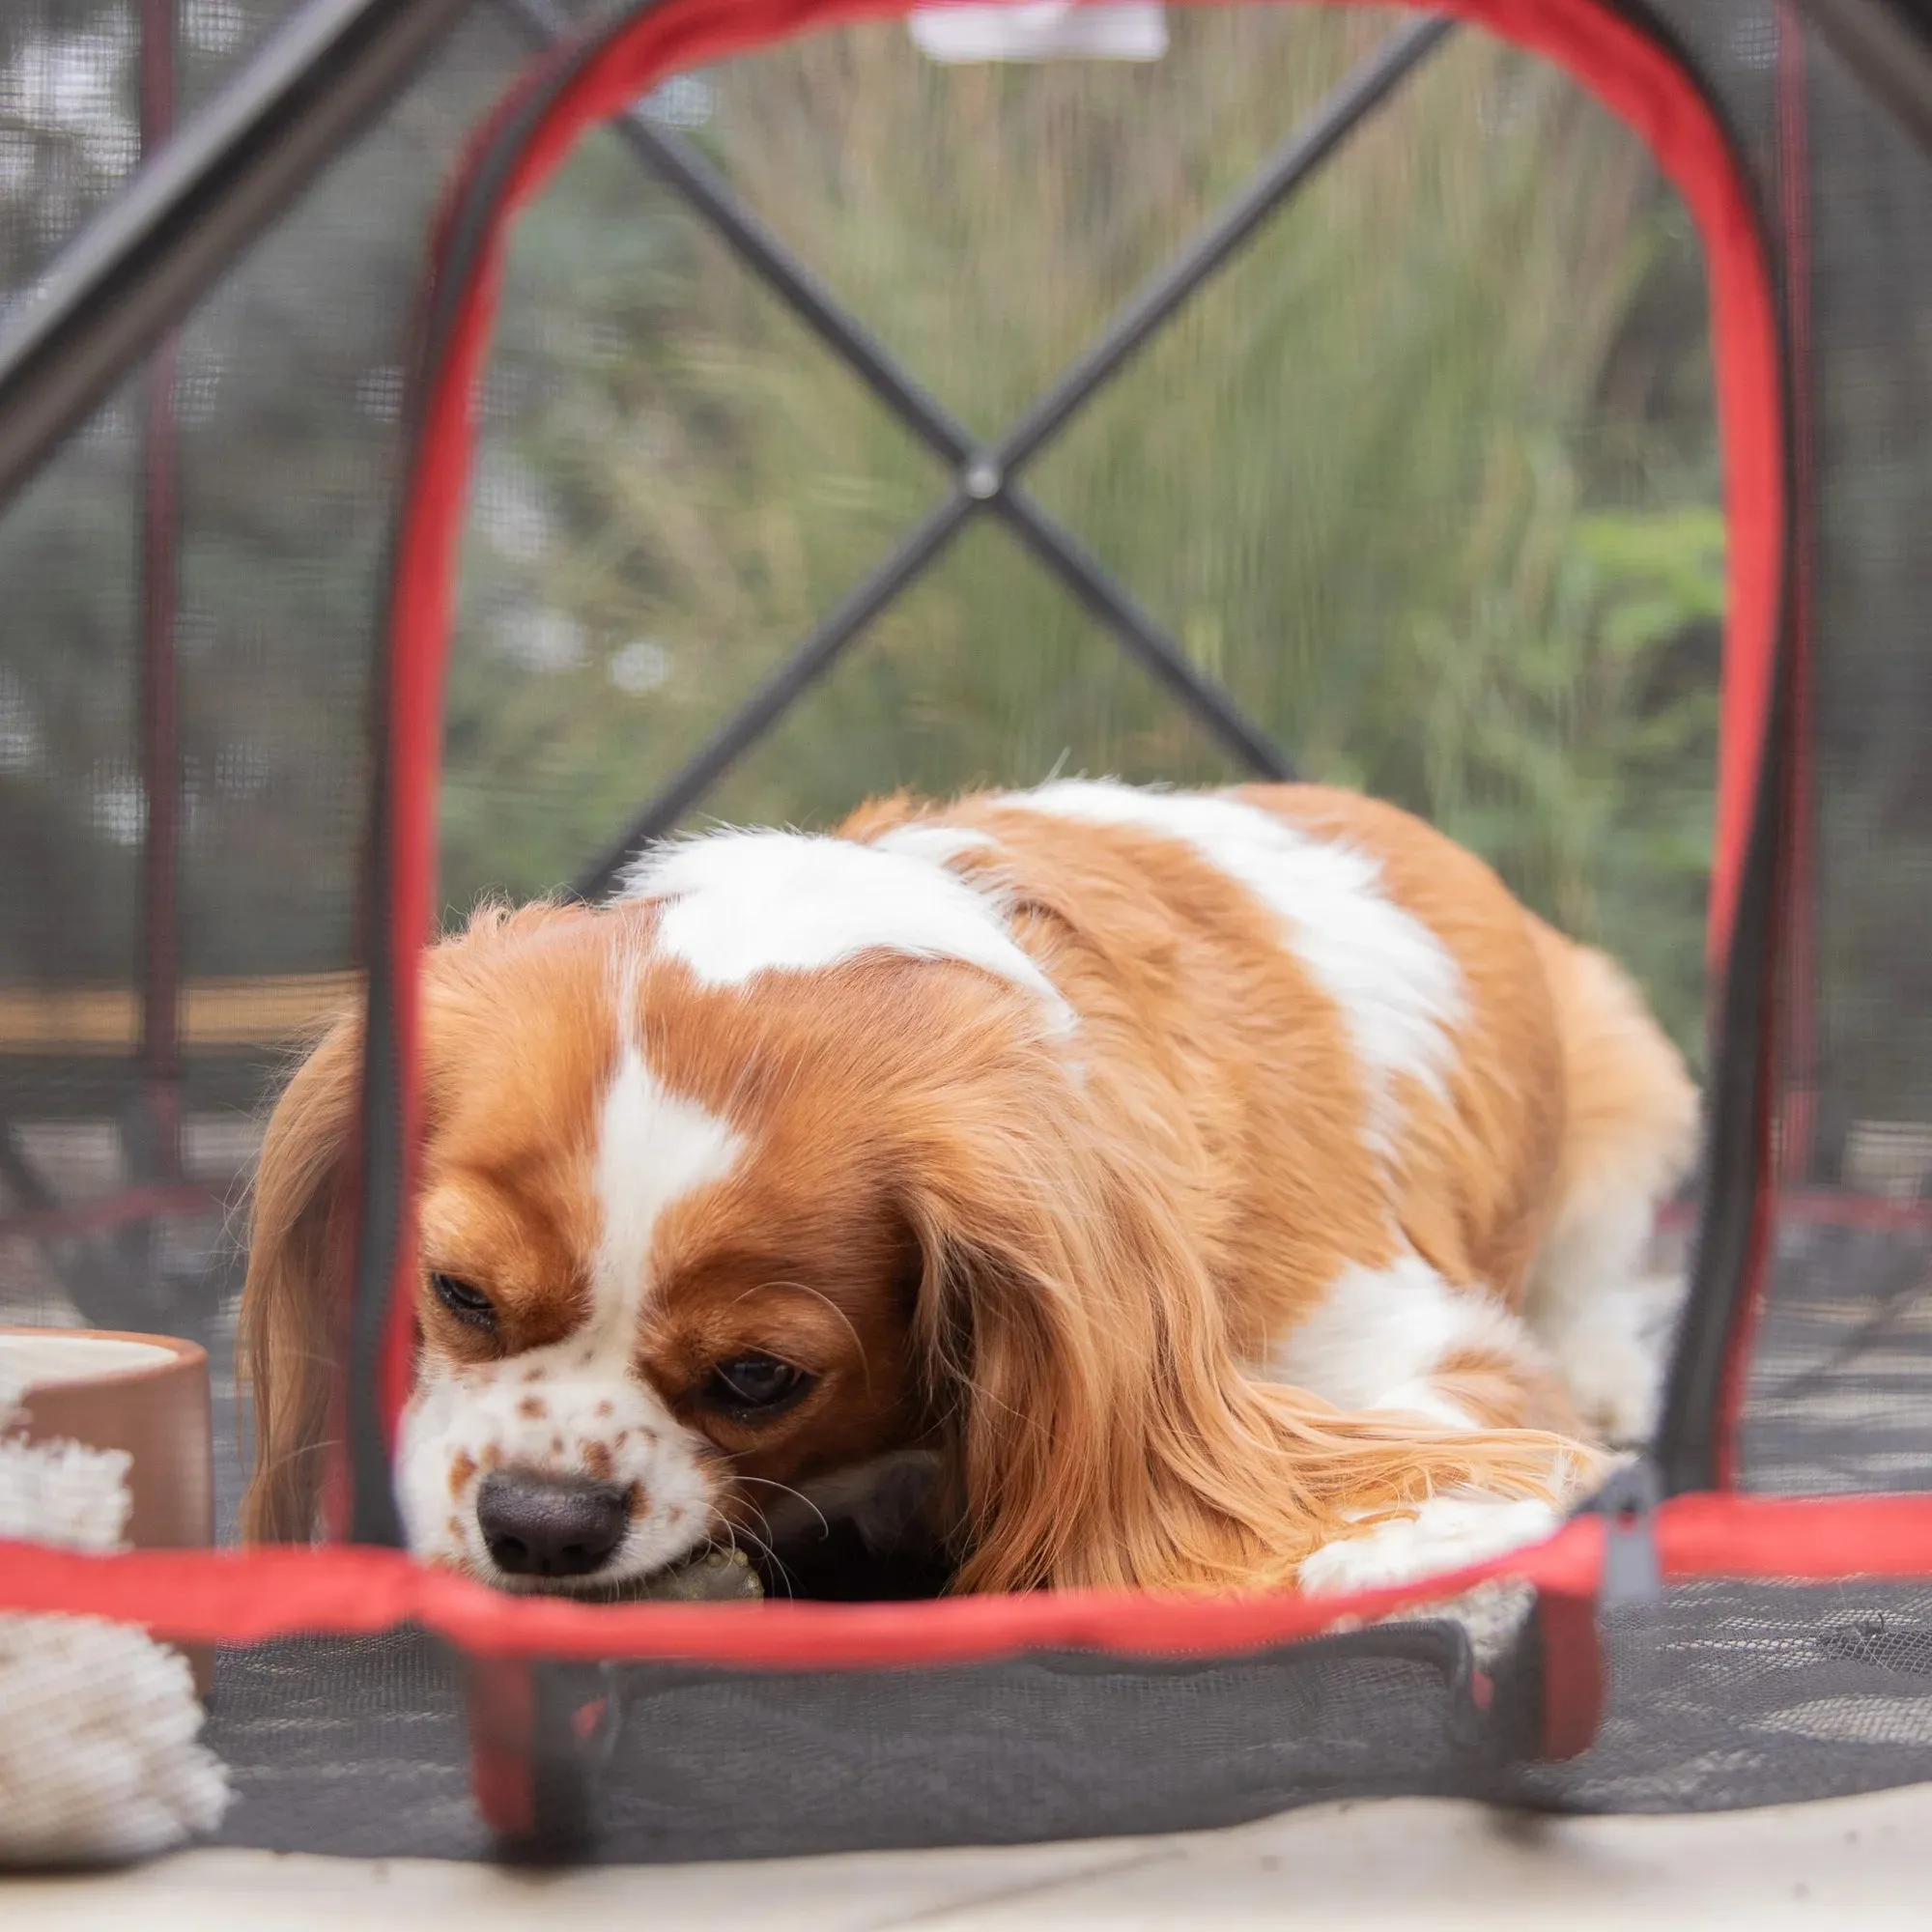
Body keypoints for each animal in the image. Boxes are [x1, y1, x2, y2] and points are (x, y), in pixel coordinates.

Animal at [238, 777, 1692, 1592]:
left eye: (757, 1378)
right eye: (457, 1293)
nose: (540, 1523)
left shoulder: (1395, 1339)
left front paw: (1400, 1539)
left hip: (1621, 1063)